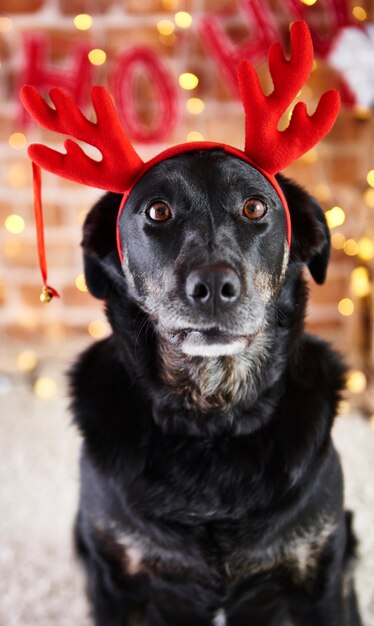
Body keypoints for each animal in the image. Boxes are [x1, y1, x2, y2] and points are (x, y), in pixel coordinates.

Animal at [71, 150, 362, 624]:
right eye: (157, 210)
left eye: (255, 207)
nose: (211, 286)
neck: (213, 419)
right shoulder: (112, 580)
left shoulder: (321, 577)